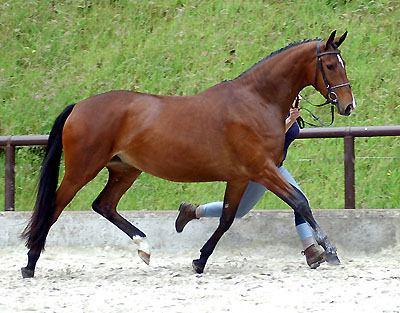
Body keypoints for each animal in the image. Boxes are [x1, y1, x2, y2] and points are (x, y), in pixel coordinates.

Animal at [21, 30, 356, 276]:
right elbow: (300, 202)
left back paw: (144, 247)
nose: (348, 106)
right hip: (82, 170)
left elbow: (226, 219)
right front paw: (329, 250)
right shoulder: (262, 170)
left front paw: (200, 261)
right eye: (329, 65)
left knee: (103, 205)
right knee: (53, 208)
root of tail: (79, 106)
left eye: (343, 63)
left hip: (124, 169)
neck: (256, 101)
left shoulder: (240, 177)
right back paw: (30, 264)